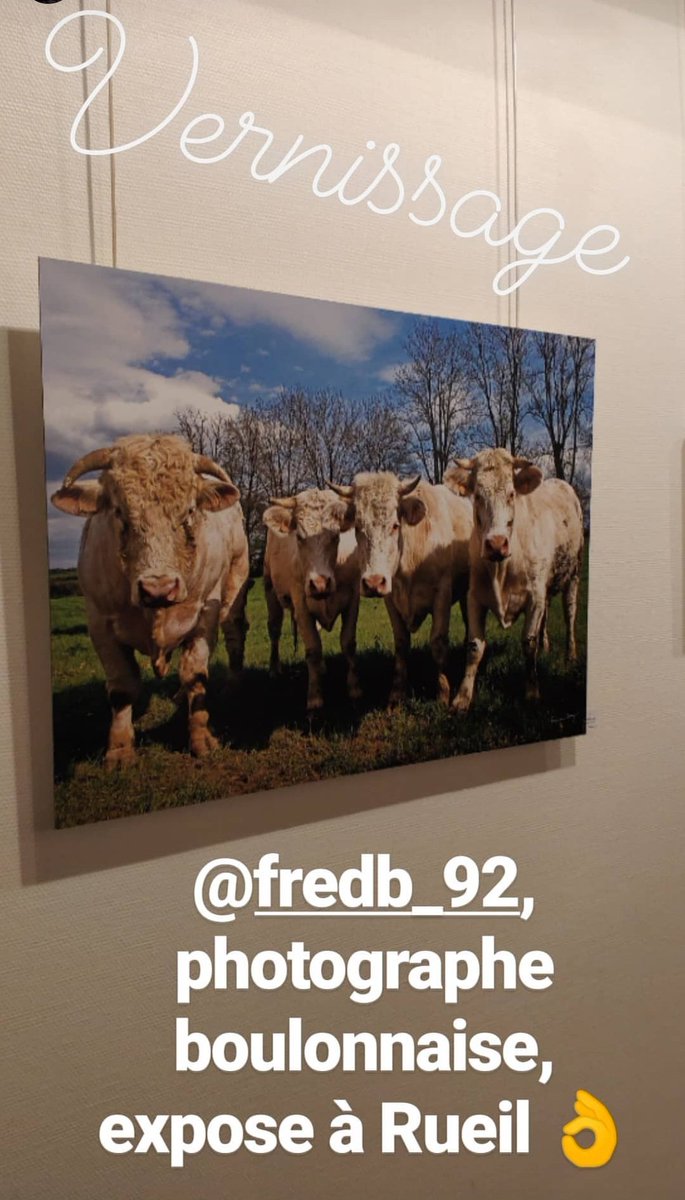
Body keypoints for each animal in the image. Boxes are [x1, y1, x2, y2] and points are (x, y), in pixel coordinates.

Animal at [50, 436, 250, 763]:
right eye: (119, 512)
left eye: (189, 512)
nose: (159, 588)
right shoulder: (99, 623)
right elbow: (122, 688)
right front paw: (120, 749)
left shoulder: (204, 614)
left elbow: (196, 676)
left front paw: (201, 738)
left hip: (235, 584)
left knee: (234, 635)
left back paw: (232, 687)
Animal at [328, 472, 475, 705]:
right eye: (358, 528)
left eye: (395, 525)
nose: (373, 582)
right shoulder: (391, 597)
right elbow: (401, 642)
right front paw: (397, 692)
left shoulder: (442, 594)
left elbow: (438, 643)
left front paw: (443, 693)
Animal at [443, 451, 585, 710]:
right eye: (477, 496)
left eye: (511, 494)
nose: (496, 544)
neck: (501, 570)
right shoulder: (474, 597)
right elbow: (474, 648)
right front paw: (463, 696)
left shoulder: (534, 598)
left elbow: (528, 643)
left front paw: (532, 691)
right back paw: (546, 646)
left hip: (574, 572)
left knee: (570, 613)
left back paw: (570, 655)